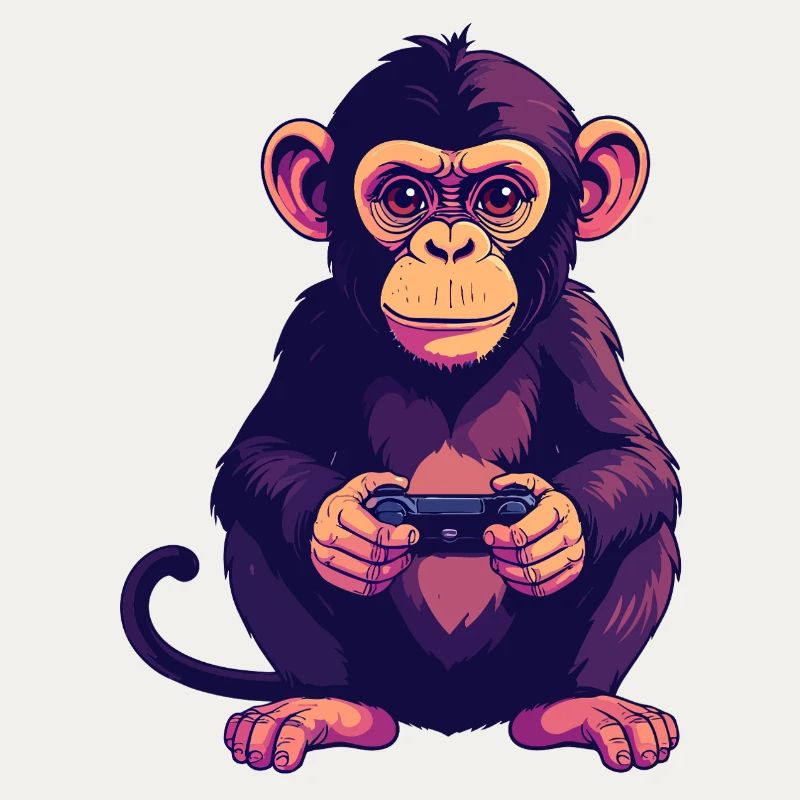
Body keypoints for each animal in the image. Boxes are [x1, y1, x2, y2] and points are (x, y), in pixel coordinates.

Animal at [122, 29, 681, 774]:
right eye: (406, 196)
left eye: (499, 198)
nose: (449, 245)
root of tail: (449, 718)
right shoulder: (316, 327)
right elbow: (264, 450)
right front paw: (344, 525)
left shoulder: (580, 328)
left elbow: (632, 454)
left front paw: (551, 528)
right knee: (256, 530)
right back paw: (328, 706)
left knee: (646, 532)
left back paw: (576, 706)